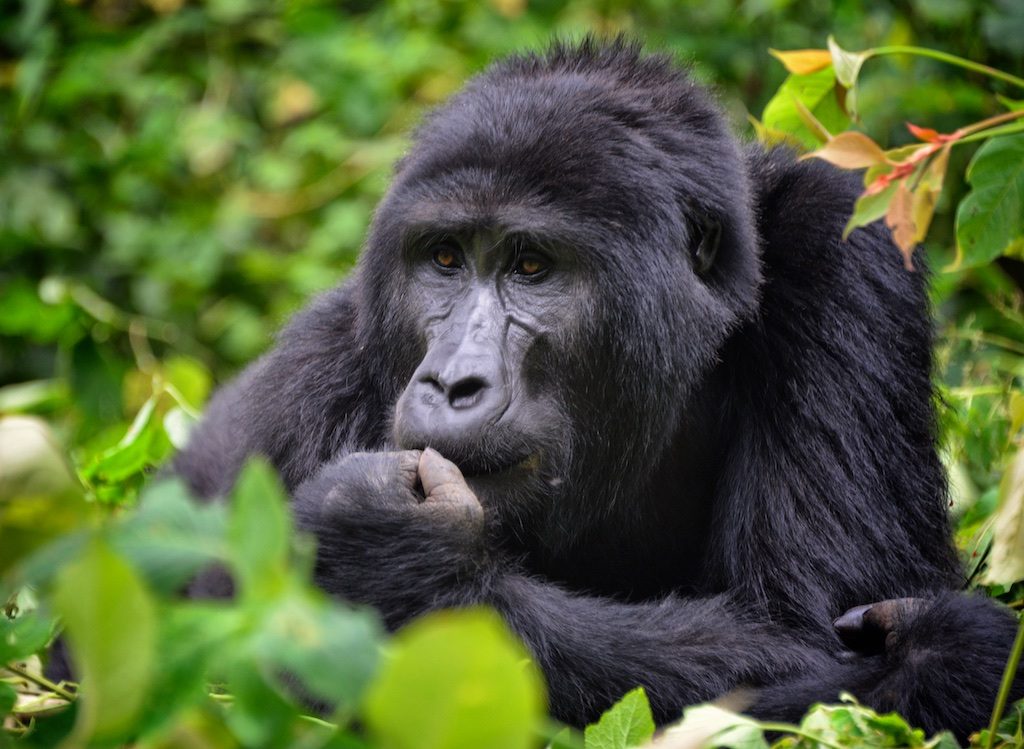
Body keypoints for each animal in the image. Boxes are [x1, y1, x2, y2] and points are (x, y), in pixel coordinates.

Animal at [174, 39, 1015, 737]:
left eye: (532, 267)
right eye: (444, 258)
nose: (451, 381)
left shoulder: (841, 240)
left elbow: (810, 627)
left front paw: (395, 564)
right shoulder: (306, 395)